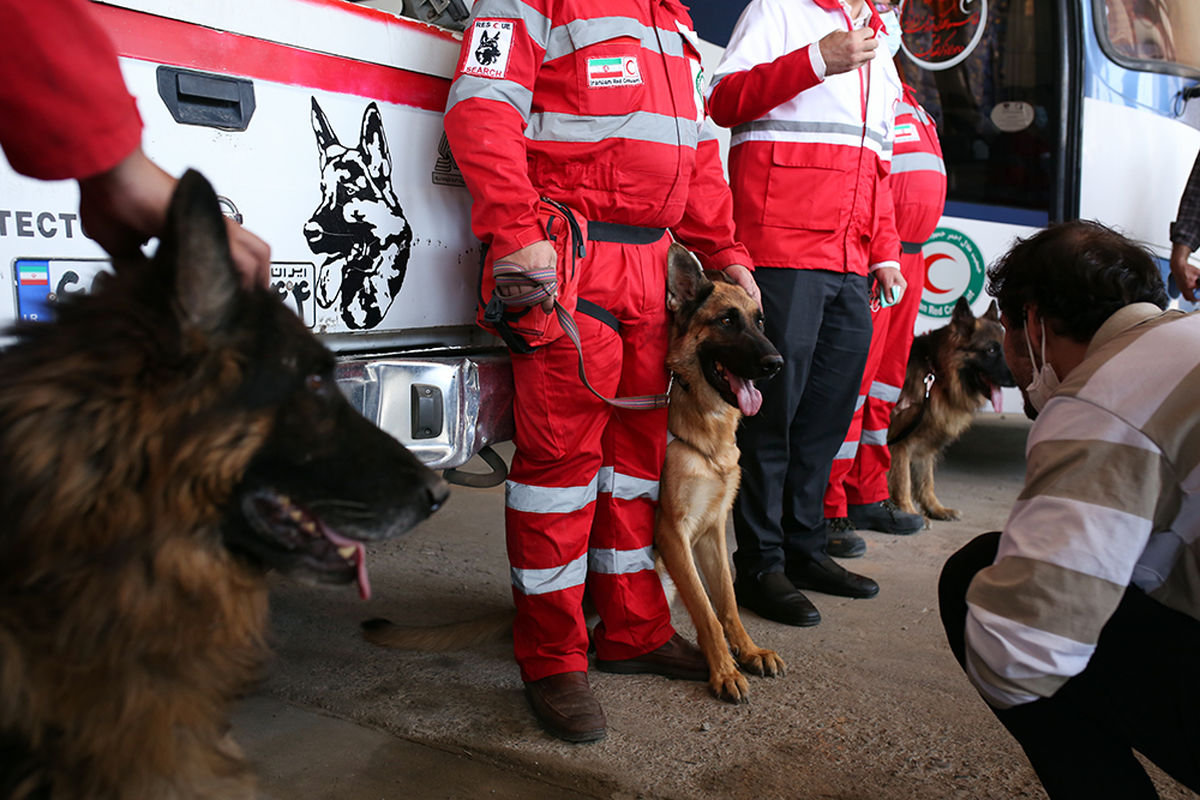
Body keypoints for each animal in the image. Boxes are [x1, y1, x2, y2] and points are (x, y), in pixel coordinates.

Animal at [364, 244, 787, 700]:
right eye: (727, 320)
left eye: (759, 321)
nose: (776, 363)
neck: (701, 420)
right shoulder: (674, 532)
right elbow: (707, 610)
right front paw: (723, 670)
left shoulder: (711, 530)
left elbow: (726, 602)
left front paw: (748, 650)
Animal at [892, 297, 1012, 522]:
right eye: (991, 350)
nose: (1018, 378)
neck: (936, 373)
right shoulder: (900, 442)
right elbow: (902, 480)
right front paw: (909, 512)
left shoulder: (923, 441)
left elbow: (925, 480)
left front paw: (936, 509)